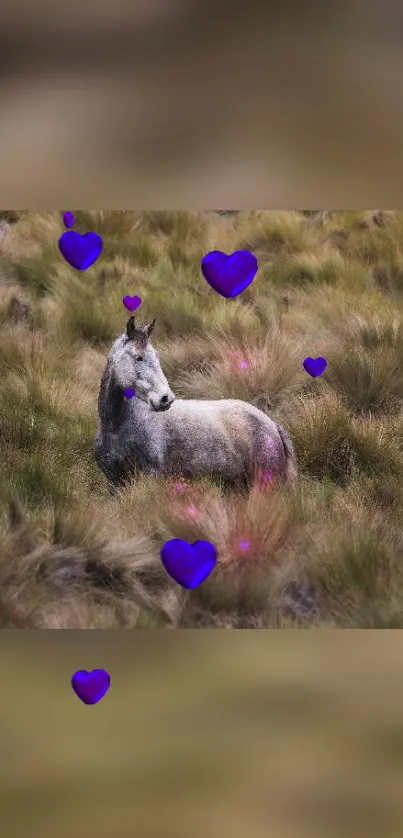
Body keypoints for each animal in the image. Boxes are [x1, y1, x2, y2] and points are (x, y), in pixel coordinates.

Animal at [94, 320, 296, 492]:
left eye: (156, 356)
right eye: (138, 358)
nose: (166, 399)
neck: (117, 427)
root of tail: (272, 425)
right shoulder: (114, 482)